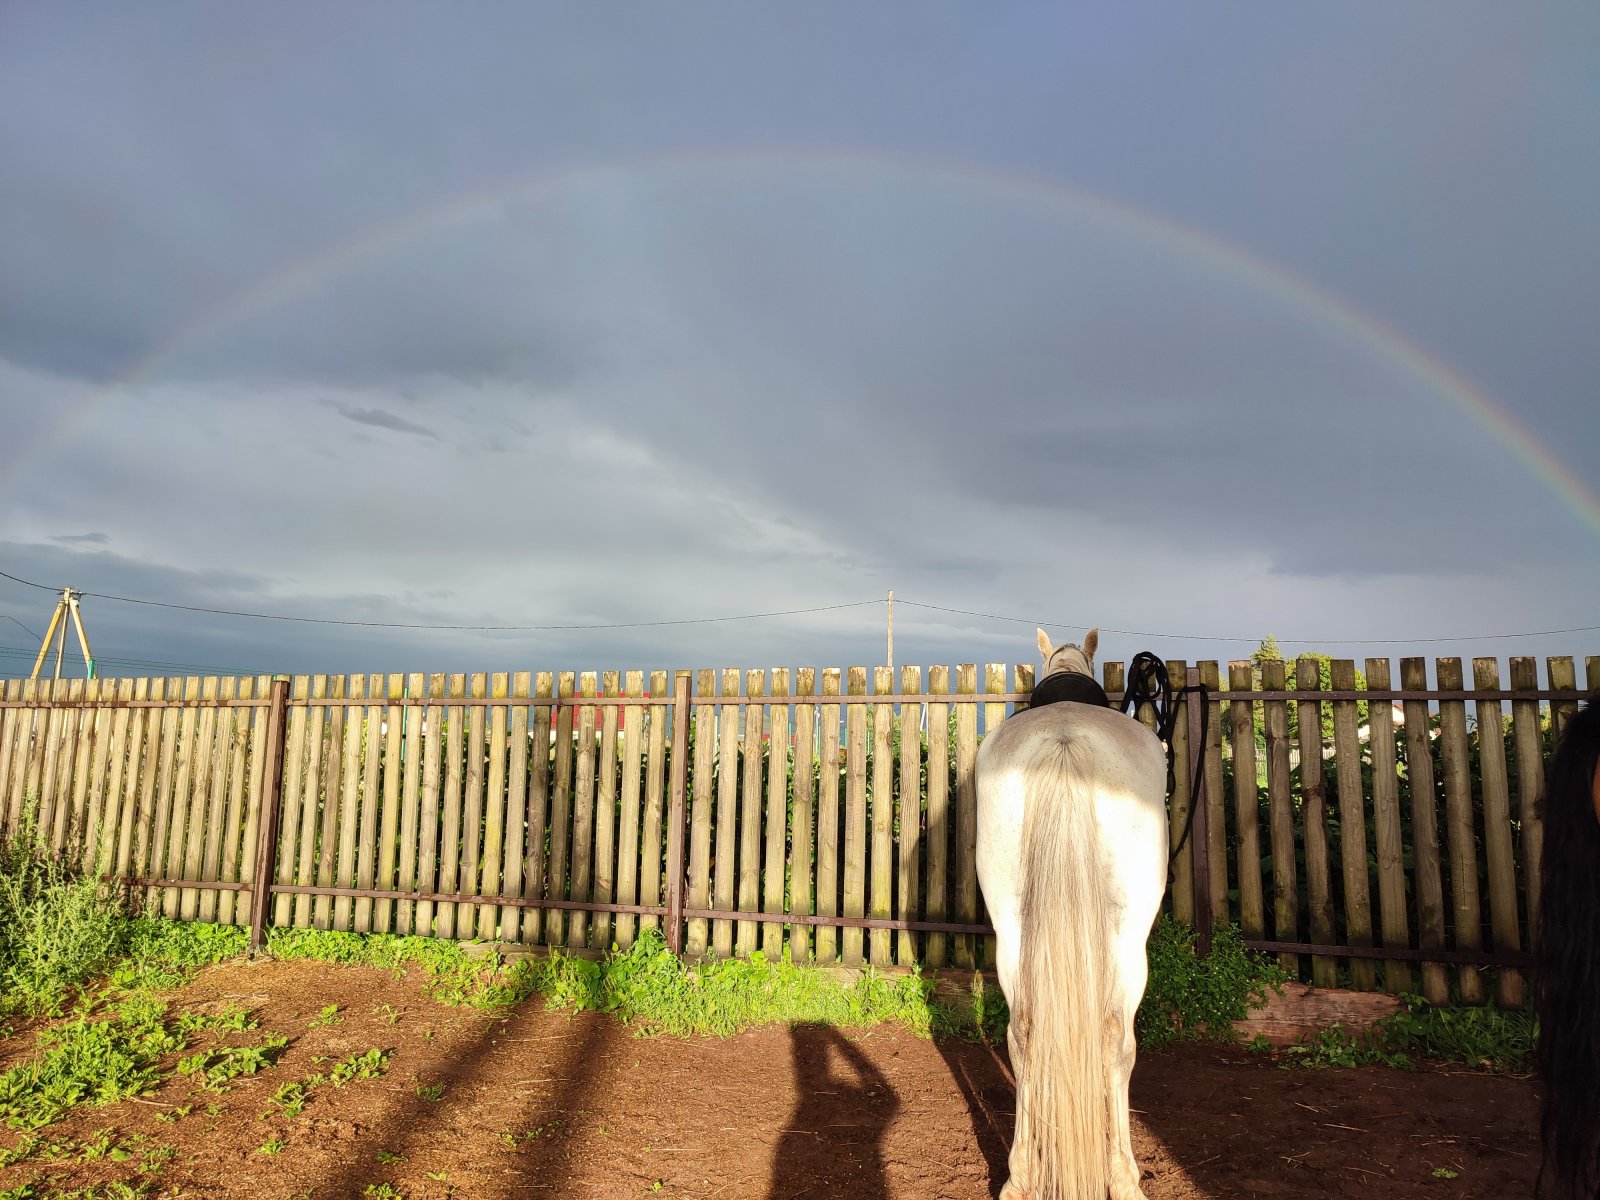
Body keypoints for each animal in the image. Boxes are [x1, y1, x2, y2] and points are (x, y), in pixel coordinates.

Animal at [976, 627, 1168, 1200]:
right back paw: (1124, 1177)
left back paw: (1019, 1177)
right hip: (1129, 944)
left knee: (1022, 1034)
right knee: (1115, 1040)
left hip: (1012, 933)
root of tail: (1063, 741)